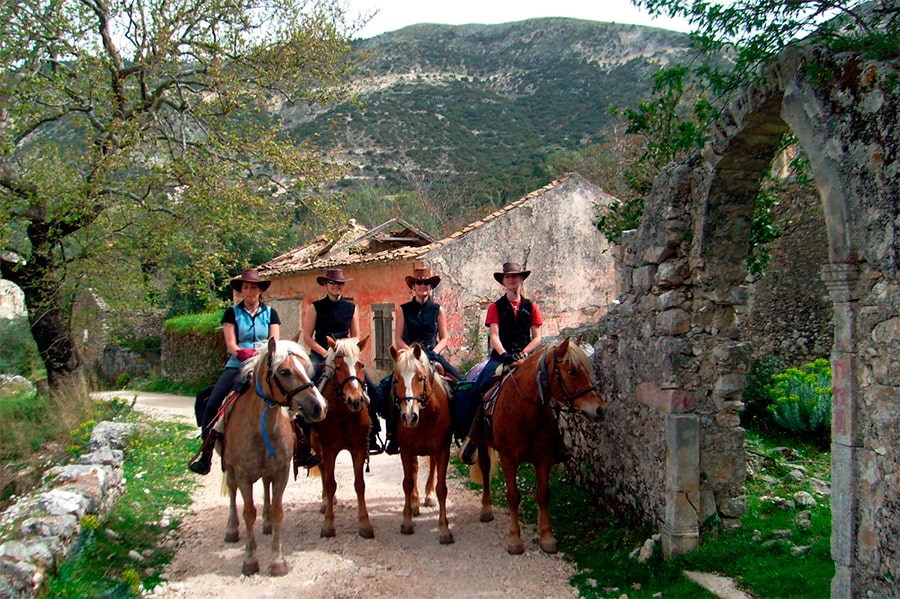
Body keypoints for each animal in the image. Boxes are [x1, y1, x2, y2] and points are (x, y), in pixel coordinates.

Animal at [222, 338, 326, 576]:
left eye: (305, 368)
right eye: (285, 371)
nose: (319, 407)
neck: (261, 425)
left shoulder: (282, 471)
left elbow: (278, 510)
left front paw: (277, 560)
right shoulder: (243, 474)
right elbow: (248, 513)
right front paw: (250, 559)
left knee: (266, 487)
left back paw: (267, 524)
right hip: (230, 465)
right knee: (231, 490)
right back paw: (231, 529)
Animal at [310, 338, 372, 540]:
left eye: (361, 365)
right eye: (337, 367)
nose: (355, 400)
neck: (345, 413)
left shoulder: (358, 447)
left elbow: (360, 484)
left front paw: (365, 524)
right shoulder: (329, 449)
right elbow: (330, 484)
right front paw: (328, 525)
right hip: (317, 446)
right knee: (323, 471)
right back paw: (325, 503)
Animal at [388, 342, 454, 544]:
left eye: (420, 378)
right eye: (395, 380)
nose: (409, 417)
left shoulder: (442, 449)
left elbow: (442, 488)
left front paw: (444, 529)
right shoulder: (406, 450)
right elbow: (408, 482)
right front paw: (407, 521)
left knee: (431, 466)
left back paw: (428, 496)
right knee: (415, 470)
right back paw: (415, 503)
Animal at [472, 338, 604, 556]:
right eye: (571, 372)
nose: (599, 409)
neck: (525, 408)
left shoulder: (543, 458)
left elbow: (543, 495)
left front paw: (547, 536)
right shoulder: (508, 459)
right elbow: (513, 496)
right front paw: (515, 540)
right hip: (482, 443)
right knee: (484, 469)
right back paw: (485, 510)